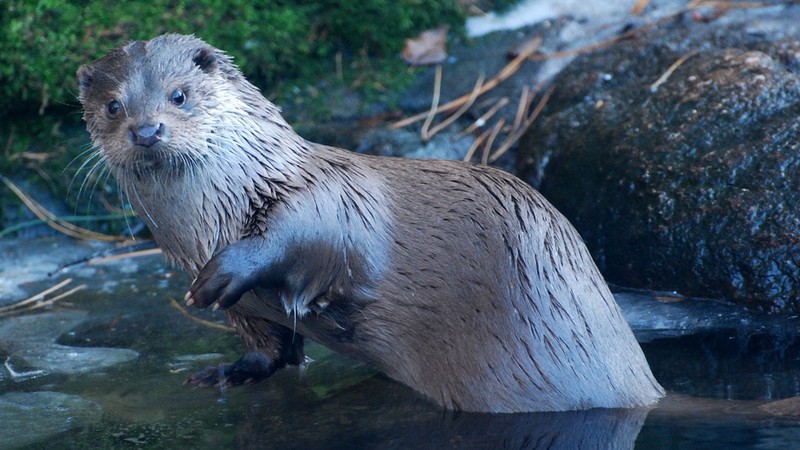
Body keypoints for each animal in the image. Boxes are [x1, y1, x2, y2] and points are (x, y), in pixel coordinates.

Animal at [76, 34, 664, 414]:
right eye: (112, 106)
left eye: (179, 94)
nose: (146, 130)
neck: (219, 212)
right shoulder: (247, 307)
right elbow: (270, 347)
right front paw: (229, 371)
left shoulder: (325, 199)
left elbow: (302, 238)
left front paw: (226, 273)